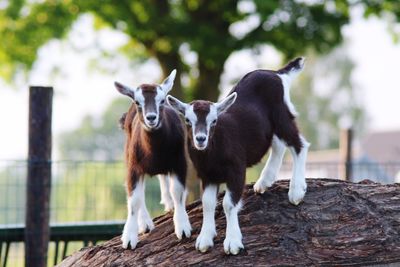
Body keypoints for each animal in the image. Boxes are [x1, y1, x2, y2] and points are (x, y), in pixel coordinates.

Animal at [115, 70, 191, 250]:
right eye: (138, 102)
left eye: (162, 101)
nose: (151, 118)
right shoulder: (134, 167)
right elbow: (135, 199)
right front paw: (129, 238)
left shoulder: (179, 162)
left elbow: (178, 191)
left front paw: (182, 227)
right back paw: (145, 223)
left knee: (163, 177)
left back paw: (169, 204)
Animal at [167, 58, 310, 255]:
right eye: (188, 120)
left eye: (214, 121)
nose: (201, 139)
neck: (214, 150)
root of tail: (277, 73)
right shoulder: (207, 175)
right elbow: (207, 203)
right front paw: (205, 239)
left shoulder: (236, 171)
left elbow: (228, 204)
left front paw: (233, 242)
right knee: (278, 145)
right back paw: (264, 182)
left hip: (282, 115)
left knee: (299, 144)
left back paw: (296, 191)